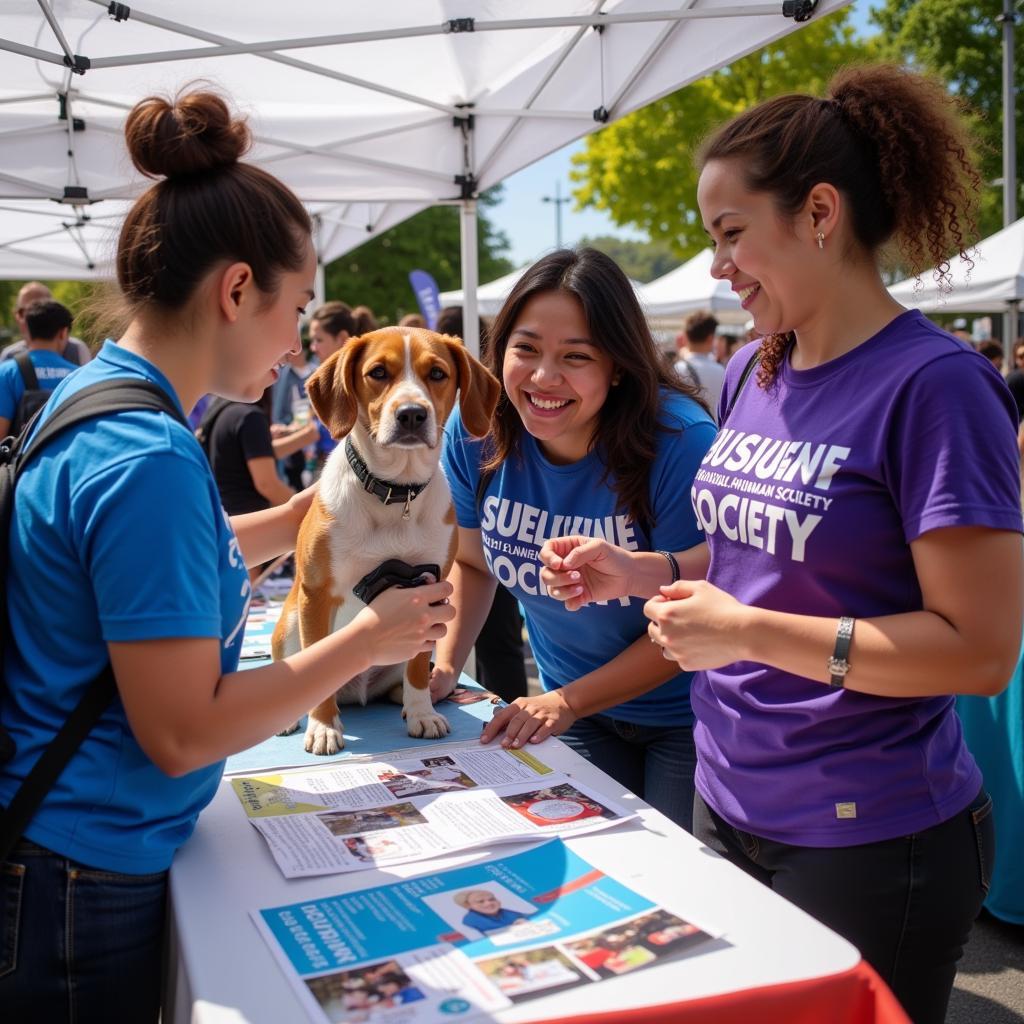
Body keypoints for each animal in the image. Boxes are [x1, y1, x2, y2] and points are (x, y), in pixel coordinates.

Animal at [270, 325, 497, 753]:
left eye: (437, 374)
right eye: (377, 372)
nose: (411, 414)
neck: (395, 492)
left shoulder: (429, 589)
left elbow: (417, 669)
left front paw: (422, 713)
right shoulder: (317, 592)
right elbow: (316, 662)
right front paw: (322, 726)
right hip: (292, 620)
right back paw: (293, 716)